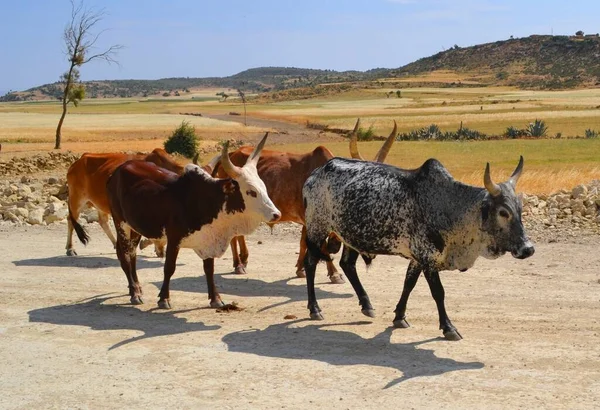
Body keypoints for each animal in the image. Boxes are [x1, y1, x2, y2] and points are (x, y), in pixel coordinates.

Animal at [73, 133, 282, 310]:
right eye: (251, 192)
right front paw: (164, 299)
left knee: (131, 253)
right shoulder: (174, 239)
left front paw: (215, 299)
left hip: (136, 226)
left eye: (263, 187)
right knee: (123, 253)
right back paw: (134, 293)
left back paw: (137, 288)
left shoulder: (207, 238)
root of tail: (117, 171)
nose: (276, 214)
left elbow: (209, 269)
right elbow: (169, 268)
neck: (206, 200)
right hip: (120, 222)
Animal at [213, 119, 396, 286]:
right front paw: (335, 274)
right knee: (233, 235)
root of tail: (230, 155)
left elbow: (303, 243)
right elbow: (320, 247)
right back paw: (238, 264)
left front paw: (300, 269)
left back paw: (243, 260)